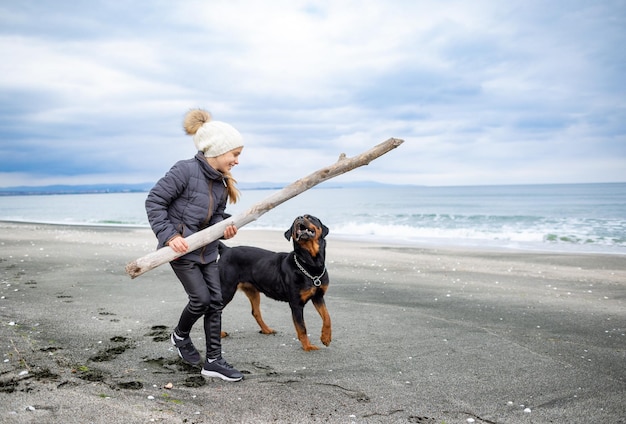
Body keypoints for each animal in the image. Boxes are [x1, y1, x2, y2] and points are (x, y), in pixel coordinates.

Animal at [217, 215, 330, 352]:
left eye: (310, 217)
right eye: (294, 222)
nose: (299, 218)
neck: (310, 265)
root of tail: (226, 250)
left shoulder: (318, 297)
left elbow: (327, 317)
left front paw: (326, 337)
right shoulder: (296, 304)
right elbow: (302, 328)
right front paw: (308, 346)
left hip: (252, 291)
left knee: (255, 312)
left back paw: (267, 330)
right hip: (226, 289)